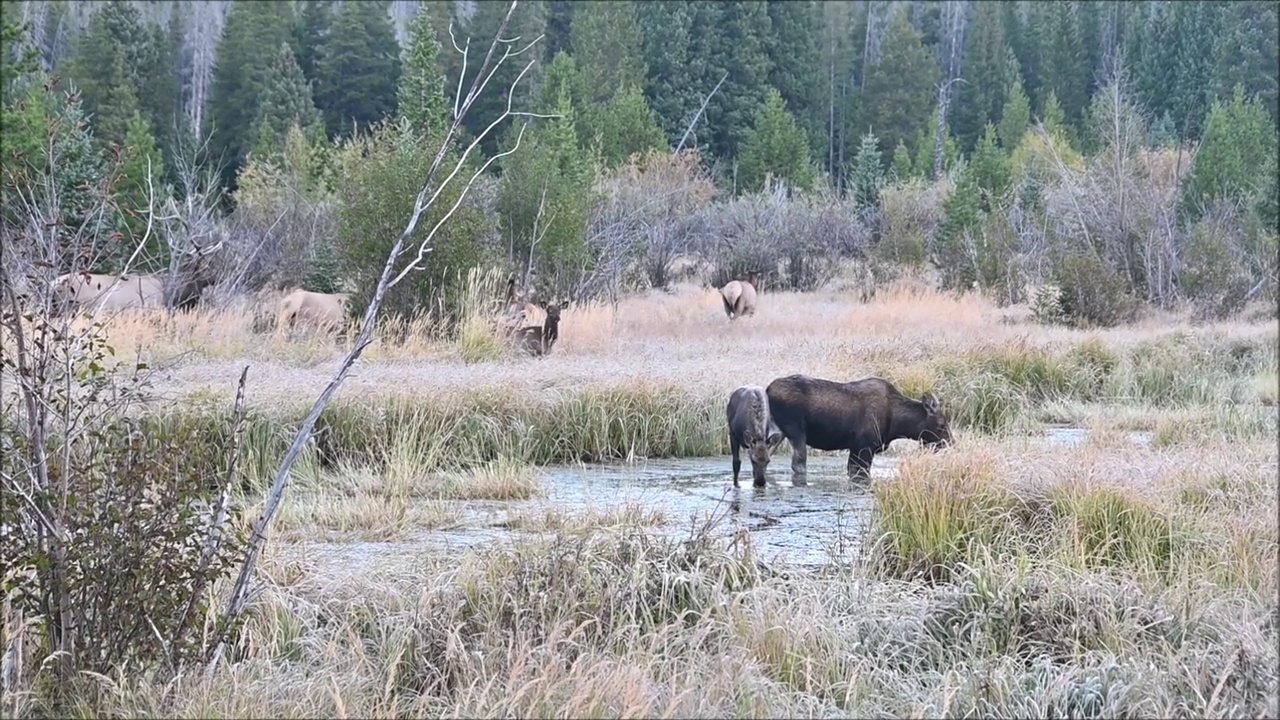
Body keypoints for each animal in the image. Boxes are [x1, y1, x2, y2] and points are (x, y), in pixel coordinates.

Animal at [757, 371, 952, 479]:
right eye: (941, 425)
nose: (949, 444)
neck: (898, 423)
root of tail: (767, 390)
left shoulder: (855, 448)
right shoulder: (866, 447)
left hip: (778, 433)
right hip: (796, 431)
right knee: (798, 464)